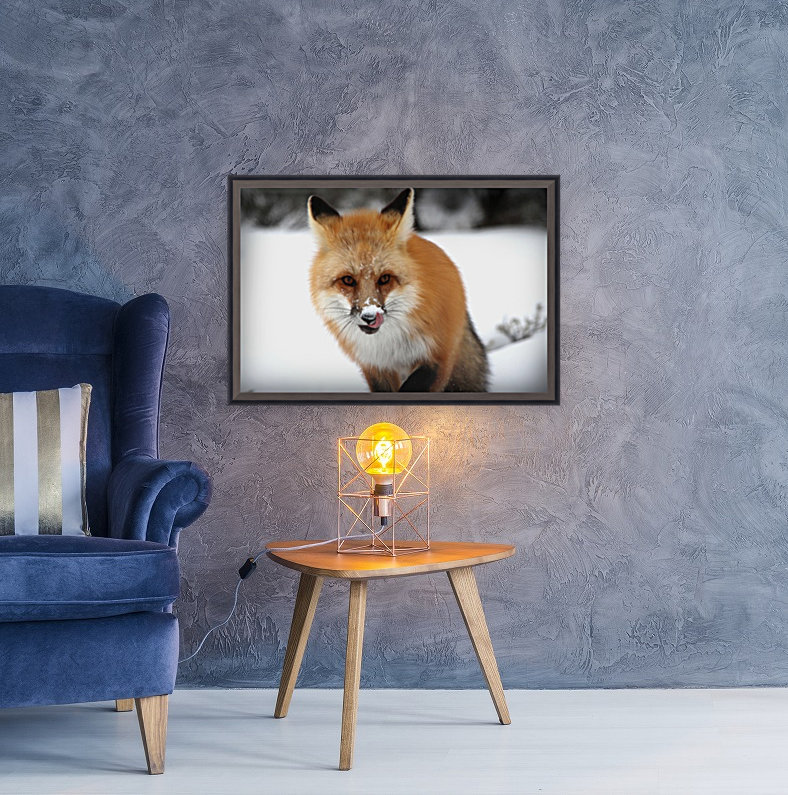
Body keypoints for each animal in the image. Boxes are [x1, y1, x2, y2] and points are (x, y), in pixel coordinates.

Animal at [307, 188, 489, 392]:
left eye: (385, 278)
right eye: (348, 280)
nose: (370, 316)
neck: (389, 345)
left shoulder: (437, 357)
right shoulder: (375, 366)